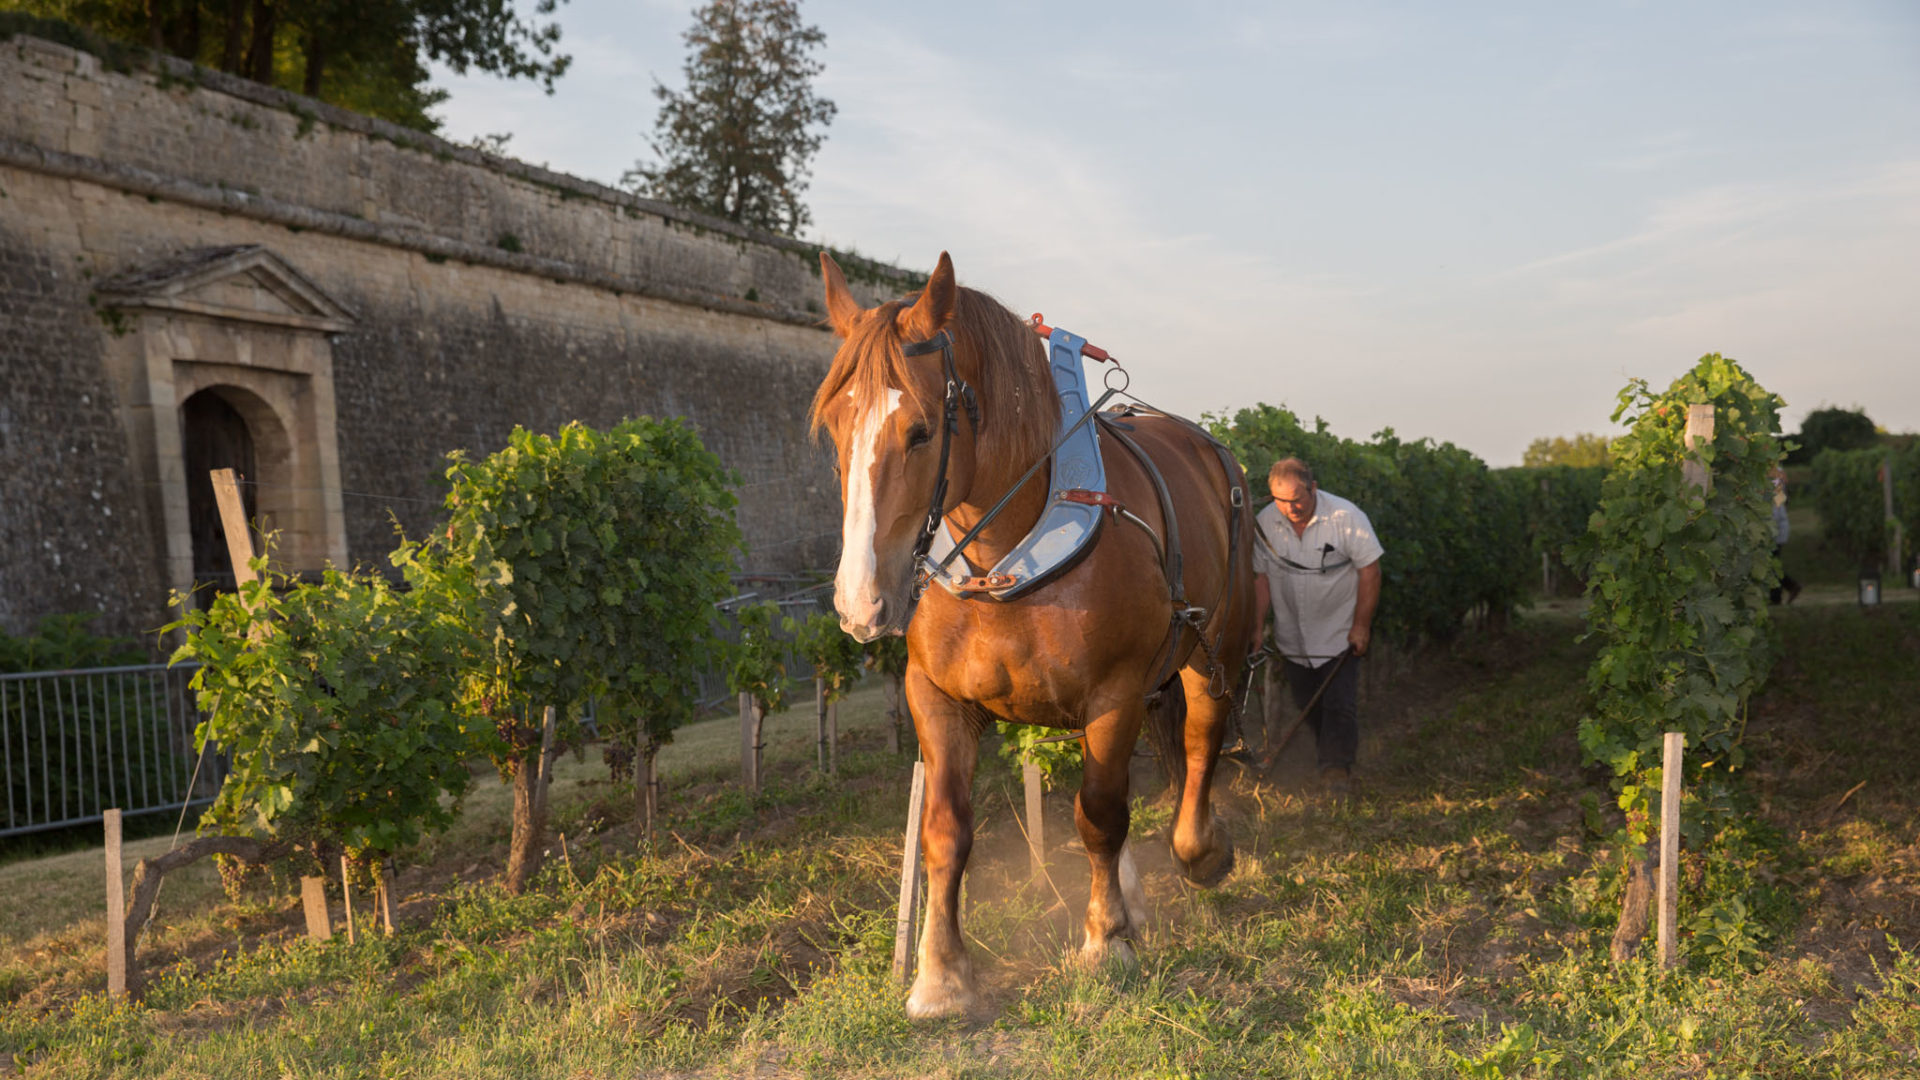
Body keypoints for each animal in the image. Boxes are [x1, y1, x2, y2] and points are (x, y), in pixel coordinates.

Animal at [810, 247, 1259, 1014]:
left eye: (921, 431)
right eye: (836, 431)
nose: (862, 601)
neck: (1009, 556)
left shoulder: (1116, 694)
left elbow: (1100, 813)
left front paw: (1106, 940)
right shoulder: (934, 696)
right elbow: (945, 829)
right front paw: (940, 973)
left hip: (1214, 646)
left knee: (1202, 737)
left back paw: (1199, 851)